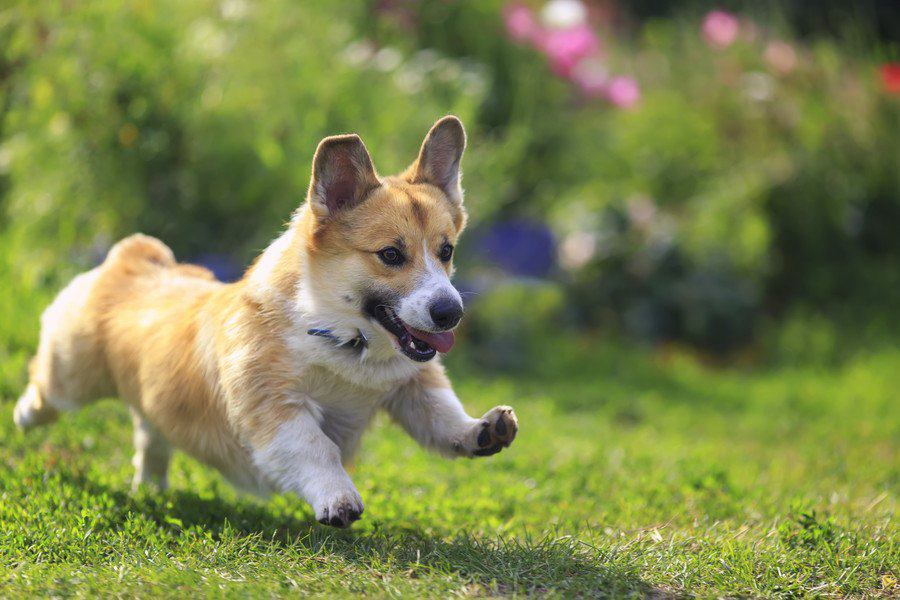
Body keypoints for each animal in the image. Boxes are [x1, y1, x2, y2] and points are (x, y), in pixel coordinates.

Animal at [14, 115, 516, 528]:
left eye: (446, 251)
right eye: (391, 255)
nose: (451, 313)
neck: (343, 340)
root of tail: (137, 257)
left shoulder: (414, 387)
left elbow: (444, 418)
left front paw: (484, 430)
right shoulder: (275, 407)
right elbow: (317, 447)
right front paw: (339, 499)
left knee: (150, 434)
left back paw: (151, 487)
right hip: (69, 376)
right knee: (44, 391)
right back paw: (23, 415)